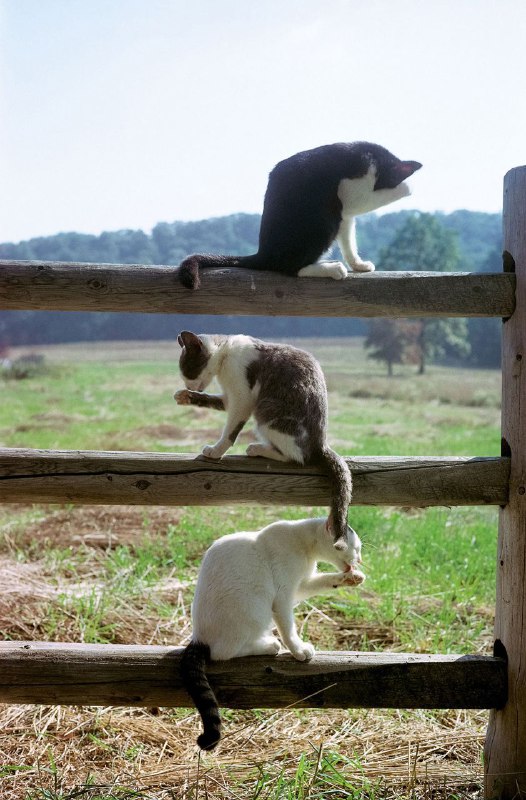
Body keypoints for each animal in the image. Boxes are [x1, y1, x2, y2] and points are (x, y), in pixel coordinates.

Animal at [176, 332, 354, 552]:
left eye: (188, 370)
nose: (188, 386)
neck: (225, 353)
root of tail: (320, 444)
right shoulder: (229, 398)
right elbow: (215, 401)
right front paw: (186, 397)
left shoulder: (243, 398)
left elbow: (231, 430)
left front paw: (217, 451)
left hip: (266, 410)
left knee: (296, 457)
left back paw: (257, 448)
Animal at [179, 142, 422, 290]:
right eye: (394, 178)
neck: (378, 159)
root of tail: (264, 253)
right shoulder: (351, 190)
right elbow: (369, 196)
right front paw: (409, 187)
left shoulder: (346, 212)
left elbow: (348, 239)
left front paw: (358, 264)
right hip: (324, 220)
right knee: (291, 267)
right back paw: (331, 268)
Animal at [179, 520, 366, 752]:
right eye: (356, 548)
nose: (360, 559)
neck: (303, 546)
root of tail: (198, 638)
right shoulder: (282, 597)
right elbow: (288, 628)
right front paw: (298, 650)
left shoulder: (300, 587)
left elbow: (322, 581)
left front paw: (350, 578)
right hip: (256, 606)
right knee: (223, 653)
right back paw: (269, 645)